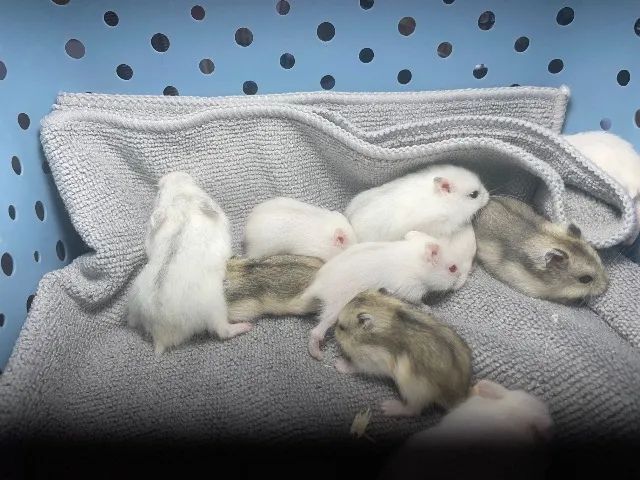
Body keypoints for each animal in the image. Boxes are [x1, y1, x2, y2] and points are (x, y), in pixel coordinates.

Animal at [128, 172, 251, 353]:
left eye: (159, 194)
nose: (171, 174)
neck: (181, 204)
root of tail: (159, 334)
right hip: (216, 308)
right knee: (223, 332)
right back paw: (245, 326)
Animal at [301, 231, 463, 360]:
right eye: (453, 268)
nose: (461, 277)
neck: (416, 261)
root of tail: (317, 286)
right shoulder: (411, 289)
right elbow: (418, 302)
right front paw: (429, 308)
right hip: (336, 306)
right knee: (316, 331)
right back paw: (317, 354)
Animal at [334, 290, 472, 416]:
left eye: (341, 327)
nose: (334, 331)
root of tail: (457, 397)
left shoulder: (372, 360)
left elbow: (356, 365)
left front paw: (339, 365)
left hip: (412, 387)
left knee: (414, 410)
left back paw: (387, 407)